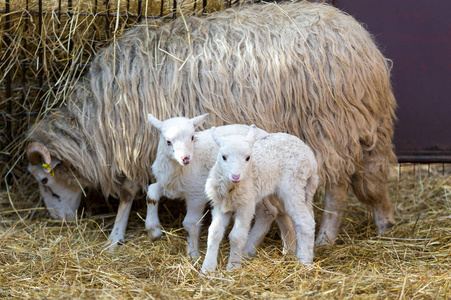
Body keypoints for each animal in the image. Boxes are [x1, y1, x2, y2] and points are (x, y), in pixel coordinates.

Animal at [26, 1, 398, 247]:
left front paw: (118, 235)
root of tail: (360, 40)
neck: (98, 119)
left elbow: (129, 191)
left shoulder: (136, 142)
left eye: (45, 180)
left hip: (330, 127)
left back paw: (324, 236)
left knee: (338, 186)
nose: (61, 221)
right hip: (356, 126)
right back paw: (383, 221)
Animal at [203, 125, 320, 274]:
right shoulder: (220, 205)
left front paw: (233, 268)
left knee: (305, 223)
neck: (232, 188)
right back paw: (286, 252)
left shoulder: (246, 205)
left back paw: (304, 263)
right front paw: (207, 269)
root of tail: (312, 159)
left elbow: (236, 237)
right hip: (279, 193)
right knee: (277, 214)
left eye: (248, 158)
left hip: (294, 186)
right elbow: (214, 233)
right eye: (223, 157)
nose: (235, 176)